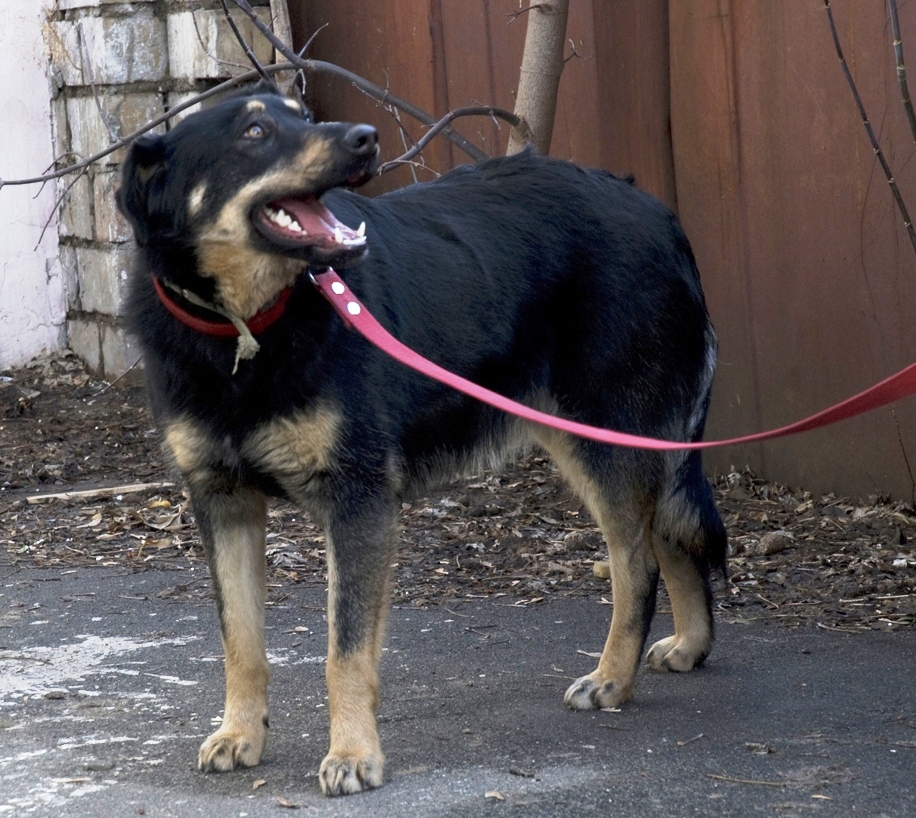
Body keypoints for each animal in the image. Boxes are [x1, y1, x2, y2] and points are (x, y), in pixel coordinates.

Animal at [114, 83, 728, 792]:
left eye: (302, 113)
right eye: (256, 132)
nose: (365, 138)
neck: (248, 330)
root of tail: (658, 213)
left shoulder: (357, 501)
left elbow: (344, 652)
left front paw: (354, 753)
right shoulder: (224, 502)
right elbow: (240, 643)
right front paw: (241, 734)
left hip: (604, 440)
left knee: (637, 562)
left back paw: (612, 680)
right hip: (593, 438)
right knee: (667, 535)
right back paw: (690, 644)